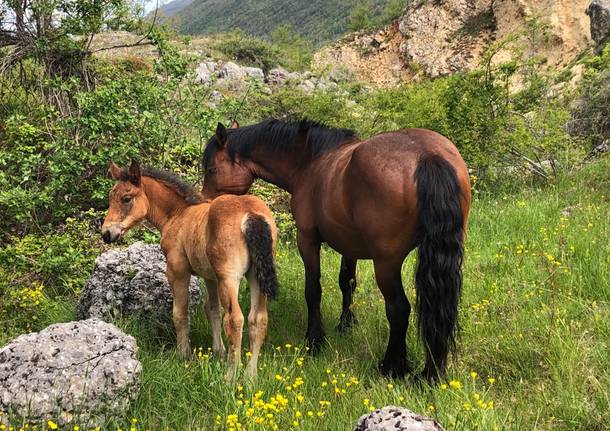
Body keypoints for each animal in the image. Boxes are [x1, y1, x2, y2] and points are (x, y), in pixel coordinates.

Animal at [100, 161, 278, 378]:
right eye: (111, 197)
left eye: (126, 198)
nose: (106, 233)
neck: (178, 214)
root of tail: (251, 214)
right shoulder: (211, 277)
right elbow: (212, 310)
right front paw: (218, 351)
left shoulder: (177, 272)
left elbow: (180, 313)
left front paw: (183, 354)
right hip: (256, 277)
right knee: (258, 319)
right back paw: (250, 376)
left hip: (230, 277)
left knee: (235, 319)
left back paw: (230, 376)